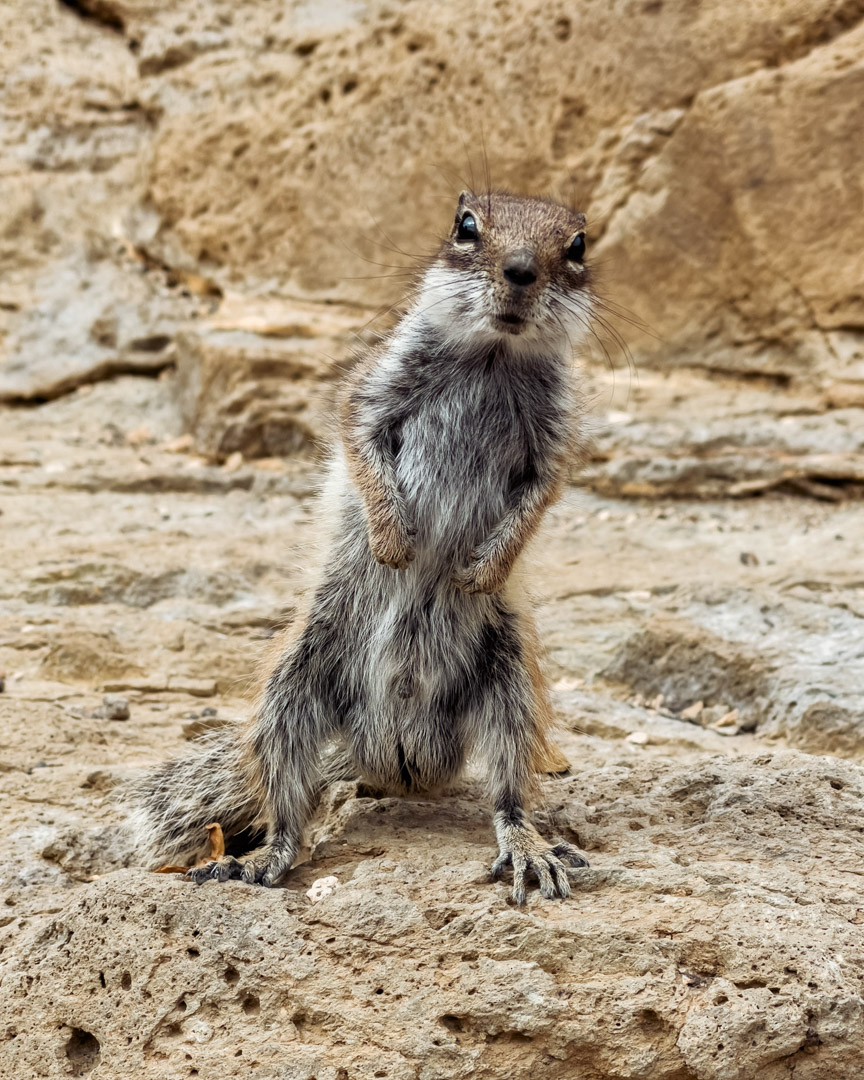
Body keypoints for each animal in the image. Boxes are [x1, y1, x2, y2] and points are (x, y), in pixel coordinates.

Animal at [128, 192, 596, 902]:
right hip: (292, 684)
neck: (492, 354)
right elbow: (361, 449)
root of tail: (395, 760)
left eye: (578, 246)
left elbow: (536, 499)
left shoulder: (555, 441)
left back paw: (527, 847)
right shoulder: (371, 393)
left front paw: (483, 571)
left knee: (511, 792)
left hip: (512, 681)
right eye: (465, 226)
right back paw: (262, 858)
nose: (520, 271)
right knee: (287, 796)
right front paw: (393, 542)